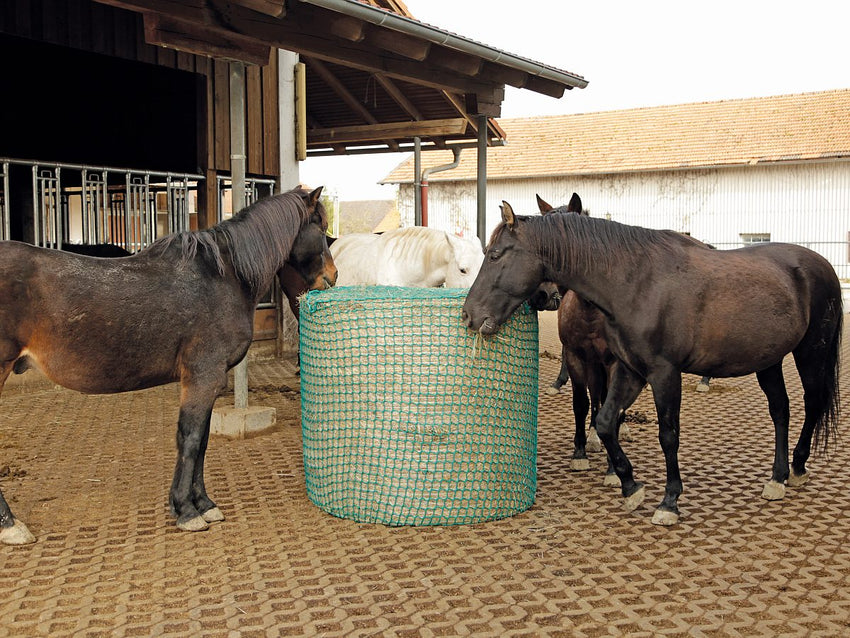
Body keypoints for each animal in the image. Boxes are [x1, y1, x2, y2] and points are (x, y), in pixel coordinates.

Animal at [0, 186, 338, 544]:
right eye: (321, 226)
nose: (332, 276)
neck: (223, 276)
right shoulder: (203, 378)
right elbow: (190, 439)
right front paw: (187, 511)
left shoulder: (206, 383)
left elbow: (202, 442)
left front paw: (203, 504)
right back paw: (11, 525)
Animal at [464, 202, 840, 528]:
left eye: (495, 255)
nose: (469, 315)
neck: (637, 283)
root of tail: (820, 264)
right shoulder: (630, 369)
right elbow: (605, 421)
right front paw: (630, 485)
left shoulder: (664, 373)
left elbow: (668, 435)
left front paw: (669, 501)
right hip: (768, 360)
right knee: (780, 410)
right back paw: (778, 477)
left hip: (811, 354)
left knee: (812, 404)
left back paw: (798, 467)